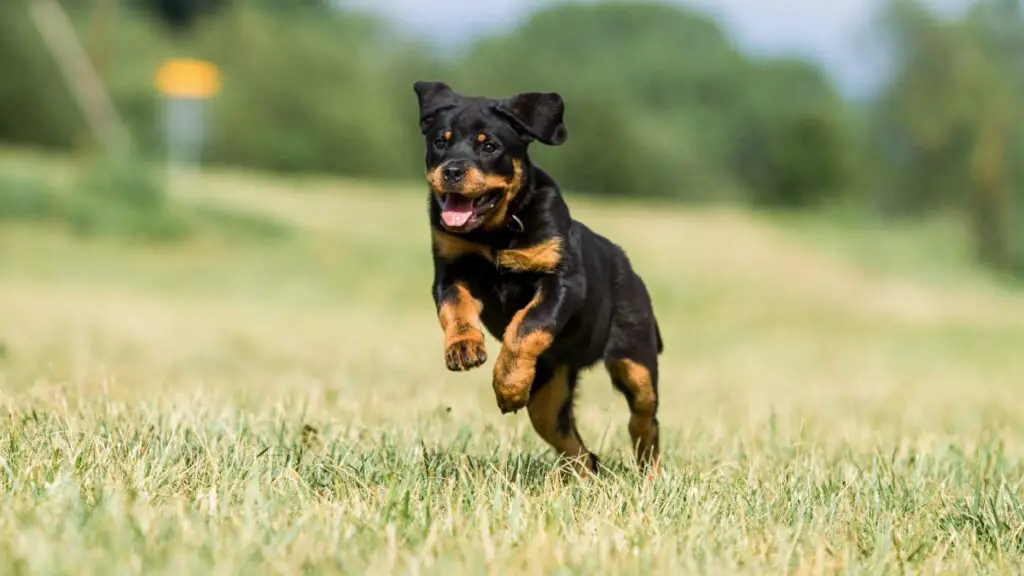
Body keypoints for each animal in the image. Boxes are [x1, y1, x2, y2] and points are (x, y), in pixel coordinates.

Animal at [413, 81, 663, 475]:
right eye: (440, 141)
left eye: (489, 146)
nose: (451, 171)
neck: (496, 232)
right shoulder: (451, 269)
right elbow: (455, 310)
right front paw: (464, 348)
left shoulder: (561, 281)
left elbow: (527, 324)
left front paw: (508, 384)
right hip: (548, 391)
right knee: (575, 447)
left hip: (635, 359)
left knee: (644, 418)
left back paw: (648, 472)